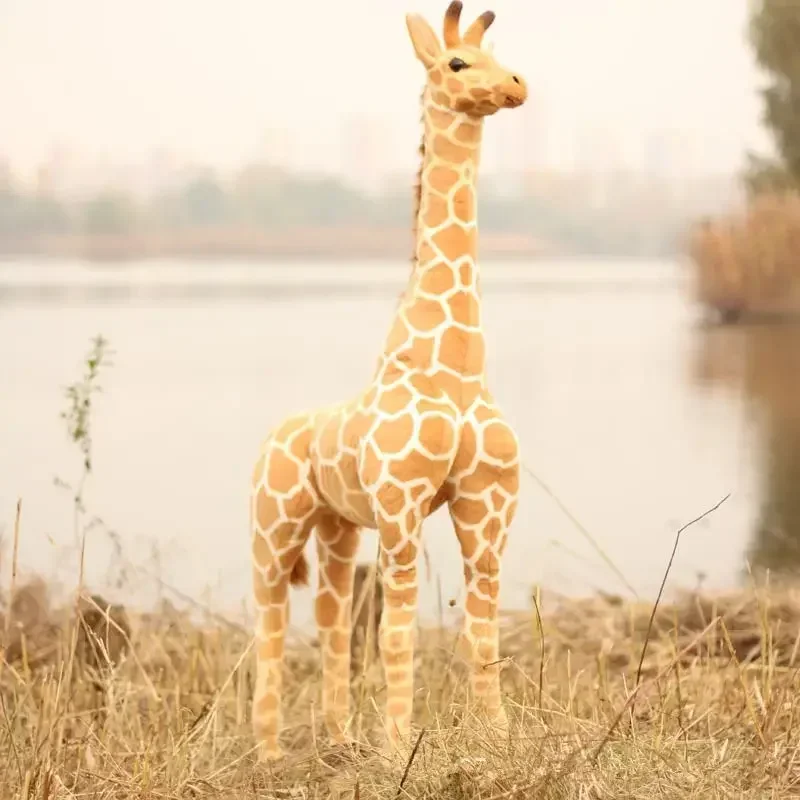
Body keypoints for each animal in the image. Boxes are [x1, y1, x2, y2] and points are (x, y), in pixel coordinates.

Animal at [249, 0, 528, 761]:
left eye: (503, 55)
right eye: (457, 62)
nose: (516, 86)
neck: (456, 368)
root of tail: (275, 434)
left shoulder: (489, 509)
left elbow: (483, 633)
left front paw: (499, 737)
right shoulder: (402, 510)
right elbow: (399, 636)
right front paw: (399, 747)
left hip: (337, 529)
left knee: (330, 619)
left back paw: (341, 737)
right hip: (272, 528)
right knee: (270, 628)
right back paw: (269, 753)